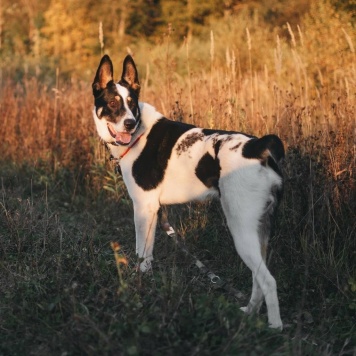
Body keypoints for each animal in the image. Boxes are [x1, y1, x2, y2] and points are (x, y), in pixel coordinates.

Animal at [92, 54, 284, 330]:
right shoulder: (154, 211)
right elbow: (148, 256)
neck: (139, 133)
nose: (129, 123)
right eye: (111, 103)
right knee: (258, 278)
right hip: (260, 231)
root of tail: (258, 147)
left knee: (267, 280)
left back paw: (275, 327)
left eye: (132, 104)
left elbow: (141, 255)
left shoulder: (143, 208)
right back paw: (249, 312)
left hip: (241, 228)